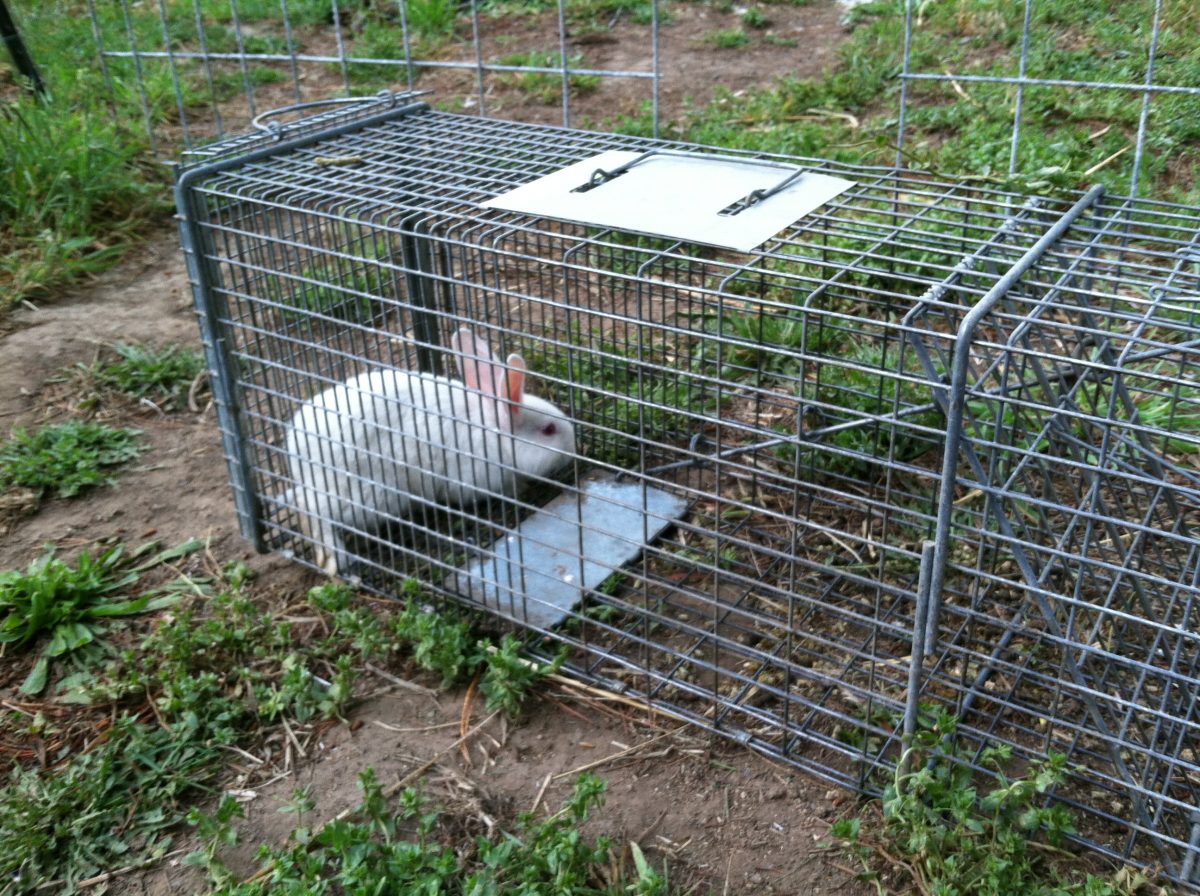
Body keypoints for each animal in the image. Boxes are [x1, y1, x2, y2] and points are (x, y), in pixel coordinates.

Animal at [284, 329, 575, 577]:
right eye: (549, 430)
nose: (573, 448)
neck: (491, 428)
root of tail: (297, 448)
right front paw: (519, 489)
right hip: (368, 494)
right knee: (310, 508)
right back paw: (335, 558)